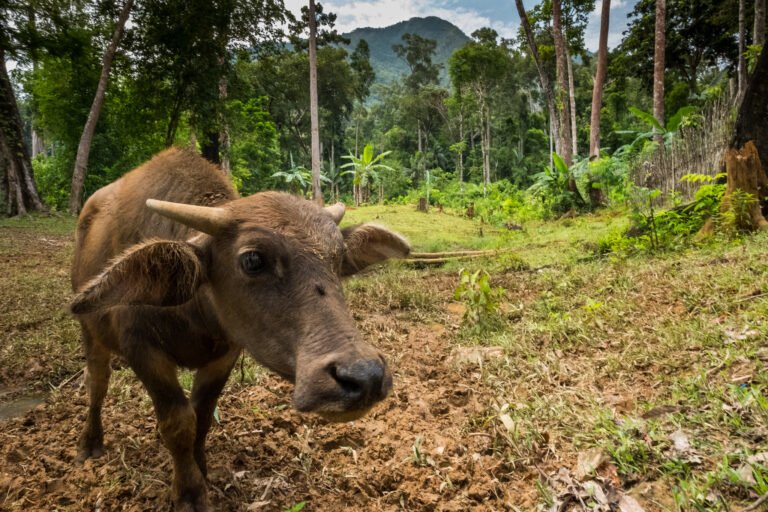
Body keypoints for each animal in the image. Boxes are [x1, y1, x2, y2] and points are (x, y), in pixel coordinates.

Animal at [69, 148, 409, 511]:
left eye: (339, 258)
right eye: (253, 259)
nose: (365, 376)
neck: (193, 309)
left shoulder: (225, 354)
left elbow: (202, 415)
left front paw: (201, 469)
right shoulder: (142, 350)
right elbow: (178, 423)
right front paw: (188, 492)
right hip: (90, 332)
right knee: (97, 382)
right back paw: (90, 441)